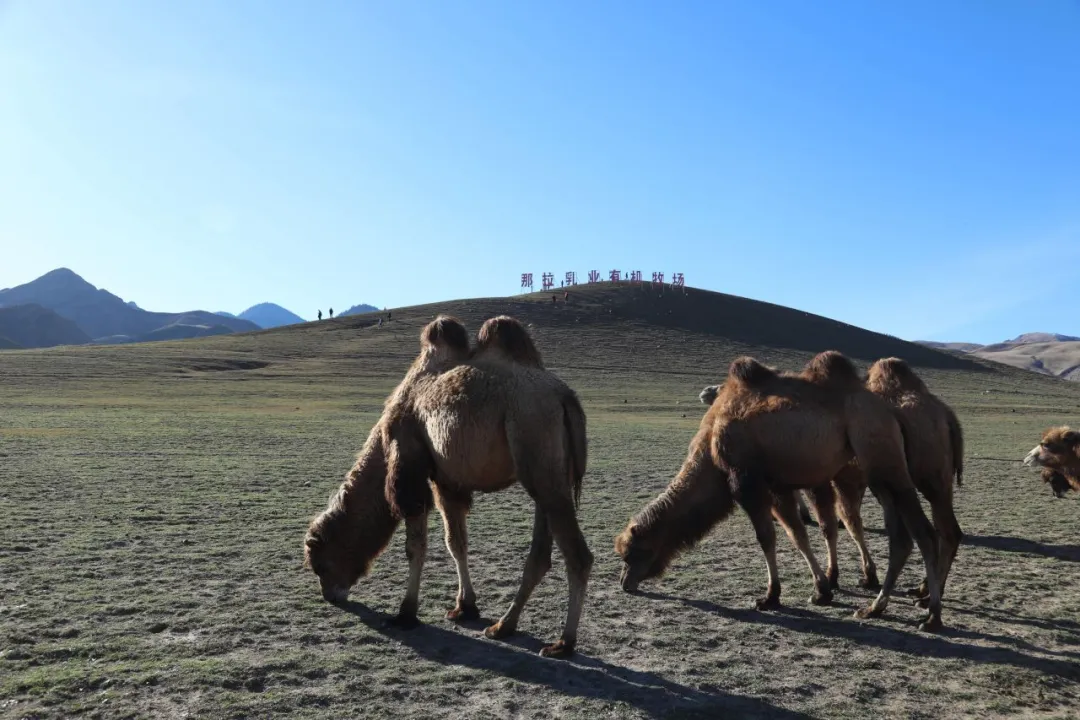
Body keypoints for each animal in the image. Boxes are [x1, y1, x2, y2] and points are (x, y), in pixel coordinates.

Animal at [304, 316, 592, 659]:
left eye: (320, 563)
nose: (330, 596)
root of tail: (566, 400)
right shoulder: (446, 479)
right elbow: (456, 542)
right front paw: (465, 607)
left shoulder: (411, 470)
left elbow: (416, 547)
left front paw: (406, 613)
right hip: (548, 473)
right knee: (540, 554)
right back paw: (503, 626)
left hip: (538, 452)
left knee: (578, 555)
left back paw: (563, 643)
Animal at [617, 351, 945, 631]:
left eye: (630, 553)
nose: (624, 584)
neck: (710, 448)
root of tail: (892, 411)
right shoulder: (778, 487)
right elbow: (797, 535)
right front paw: (822, 590)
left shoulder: (747, 483)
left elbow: (767, 538)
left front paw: (770, 596)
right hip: (880, 473)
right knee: (901, 537)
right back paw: (877, 607)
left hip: (881, 458)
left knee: (925, 533)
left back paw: (930, 615)